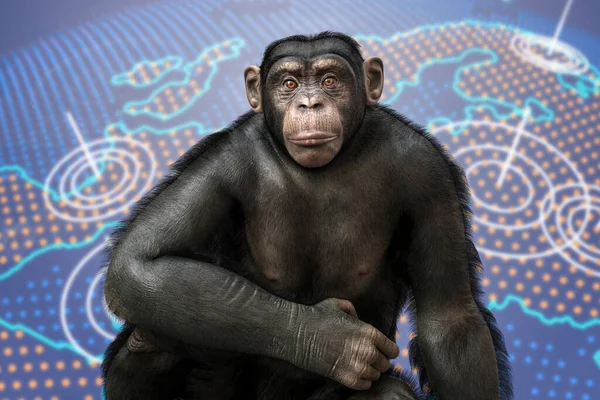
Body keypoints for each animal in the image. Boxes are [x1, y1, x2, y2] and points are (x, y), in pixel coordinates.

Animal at [101, 32, 512, 400]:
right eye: (289, 83)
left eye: (330, 80)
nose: (310, 103)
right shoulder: (223, 162)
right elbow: (140, 263)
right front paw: (332, 340)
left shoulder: (427, 171)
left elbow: (449, 320)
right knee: (153, 334)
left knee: (392, 392)